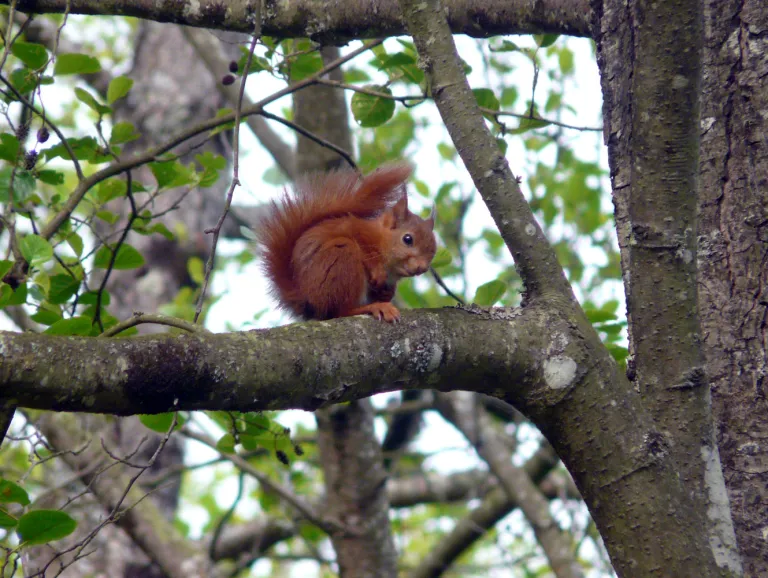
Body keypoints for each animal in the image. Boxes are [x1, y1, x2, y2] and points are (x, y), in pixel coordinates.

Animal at [255, 164, 436, 323]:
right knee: (341, 311)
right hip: (342, 259)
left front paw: (388, 294)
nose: (421, 268)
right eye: (407, 239)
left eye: (434, 250)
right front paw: (377, 271)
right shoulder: (356, 229)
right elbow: (362, 245)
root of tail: (309, 301)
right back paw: (373, 307)